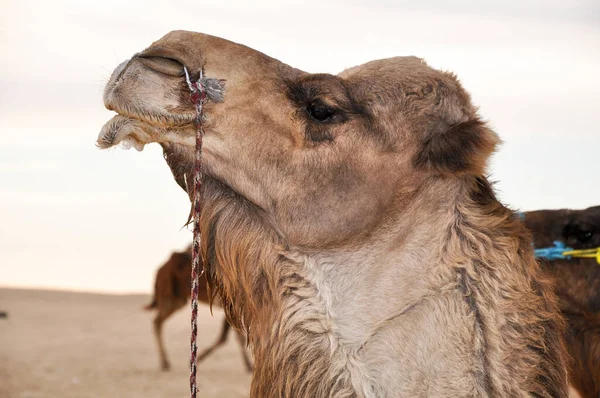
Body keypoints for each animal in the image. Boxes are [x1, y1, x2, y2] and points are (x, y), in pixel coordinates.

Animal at [144, 244, 252, 372]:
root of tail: (160, 268)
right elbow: (229, 337)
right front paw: (250, 366)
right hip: (170, 295)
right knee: (157, 322)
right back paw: (165, 362)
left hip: (177, 299)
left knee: (158, 321)